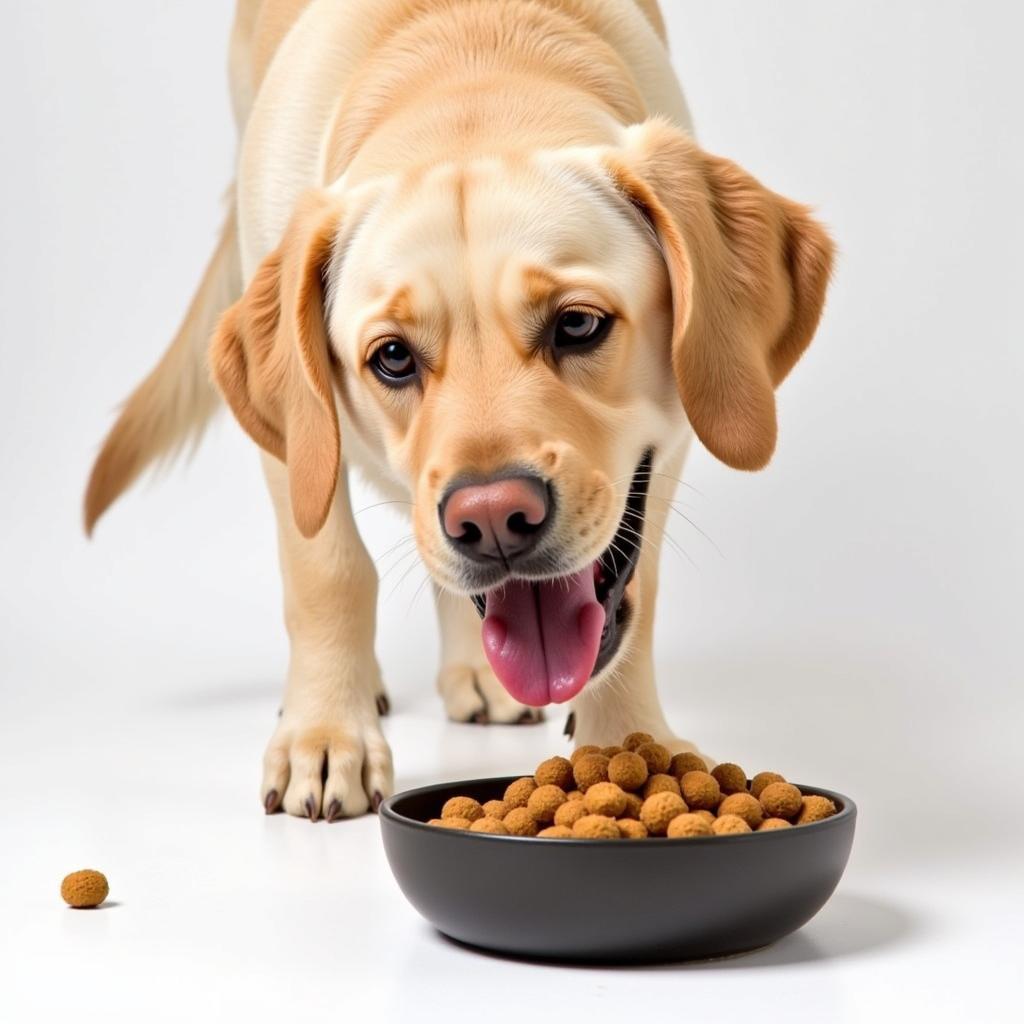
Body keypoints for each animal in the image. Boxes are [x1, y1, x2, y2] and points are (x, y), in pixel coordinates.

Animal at [79, 0, 831, 819]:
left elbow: (636, 591)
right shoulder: (296, 451)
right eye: (392, 357)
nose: (494, 520)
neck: (470, 58)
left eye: (578, 324)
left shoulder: (667, 452)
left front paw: (627, 739)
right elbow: (329, 571)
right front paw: (326, 735)